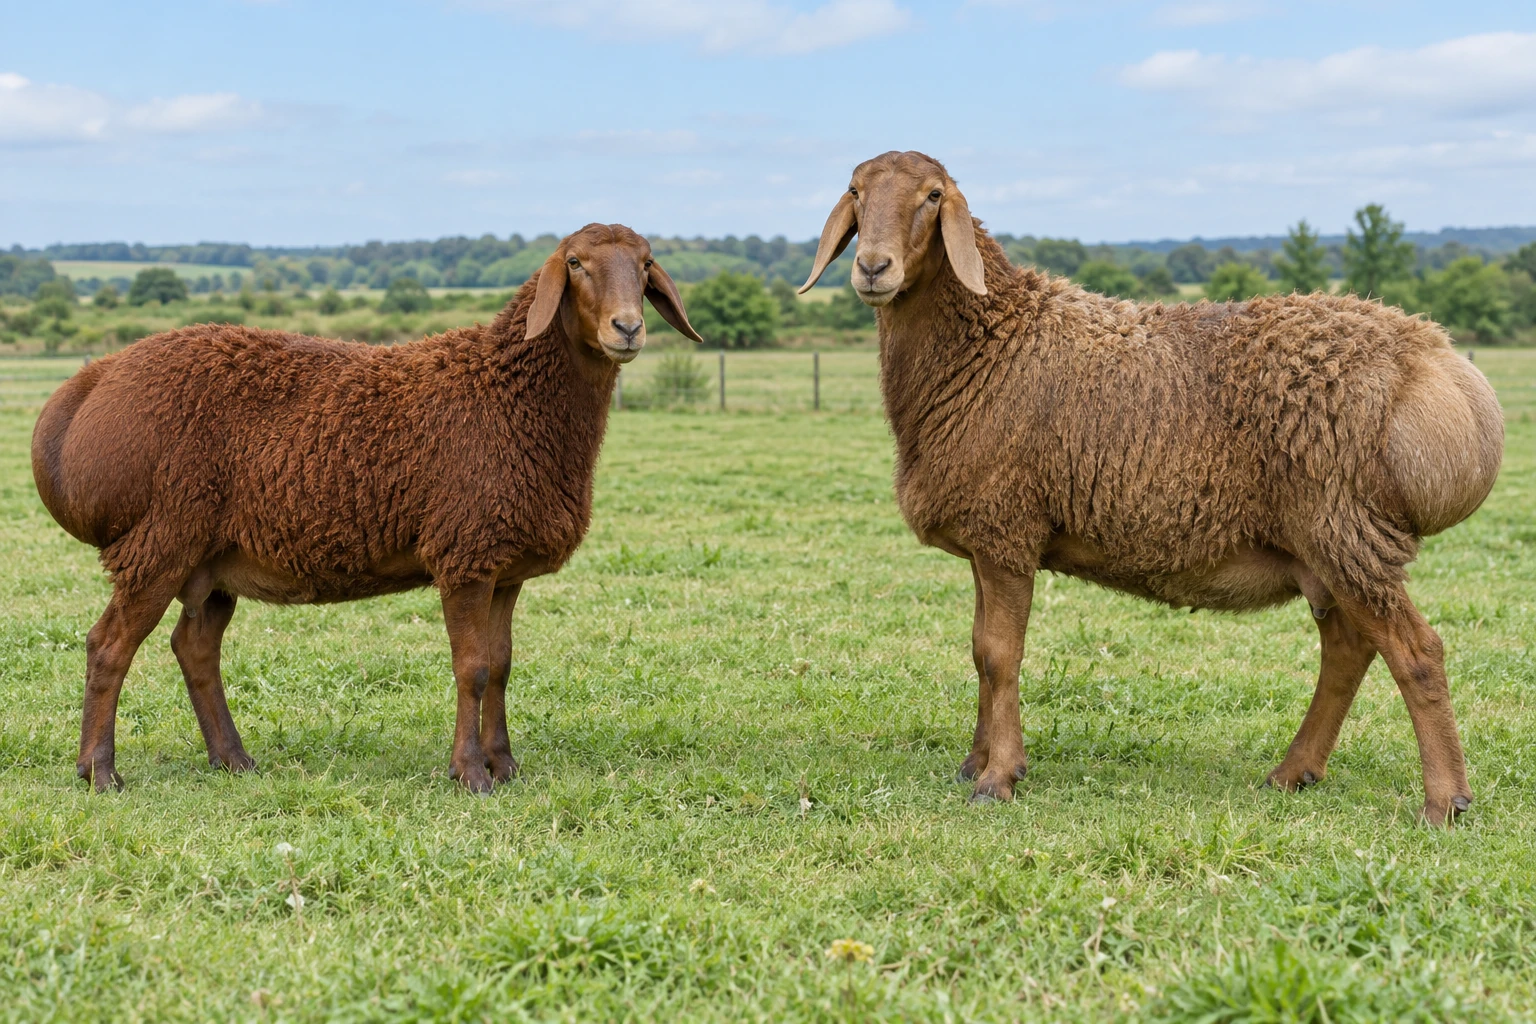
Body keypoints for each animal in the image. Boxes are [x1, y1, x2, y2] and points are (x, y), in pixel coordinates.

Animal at [32, 222, 703, 794]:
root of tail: (91, 385)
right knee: (108, 646)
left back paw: (232, 759)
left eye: (645, 265)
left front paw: (505, 765)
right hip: (159, 540)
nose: (627, 328)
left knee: (194, 647)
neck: (509, 394)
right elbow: (472, 668)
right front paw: (470, 774)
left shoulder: (503, 566)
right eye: (576, 264)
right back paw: (99, 773)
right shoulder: (464, 554)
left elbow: (503, 666)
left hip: (212, 560)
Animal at [800, 151, 1504, 825]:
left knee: (1416, 651)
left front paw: (997, 780)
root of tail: (1446, 371)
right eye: (857, 191)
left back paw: (1445, 802)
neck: (990, 343)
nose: (873, 266)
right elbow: (979, 653)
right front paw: (979, 762)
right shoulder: (987, 538)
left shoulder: (1007, 531)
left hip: (1345, 530)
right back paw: (1293, 773)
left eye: (933, 196)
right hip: (1328, 546)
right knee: (1350, 651)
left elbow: (1001, 656)